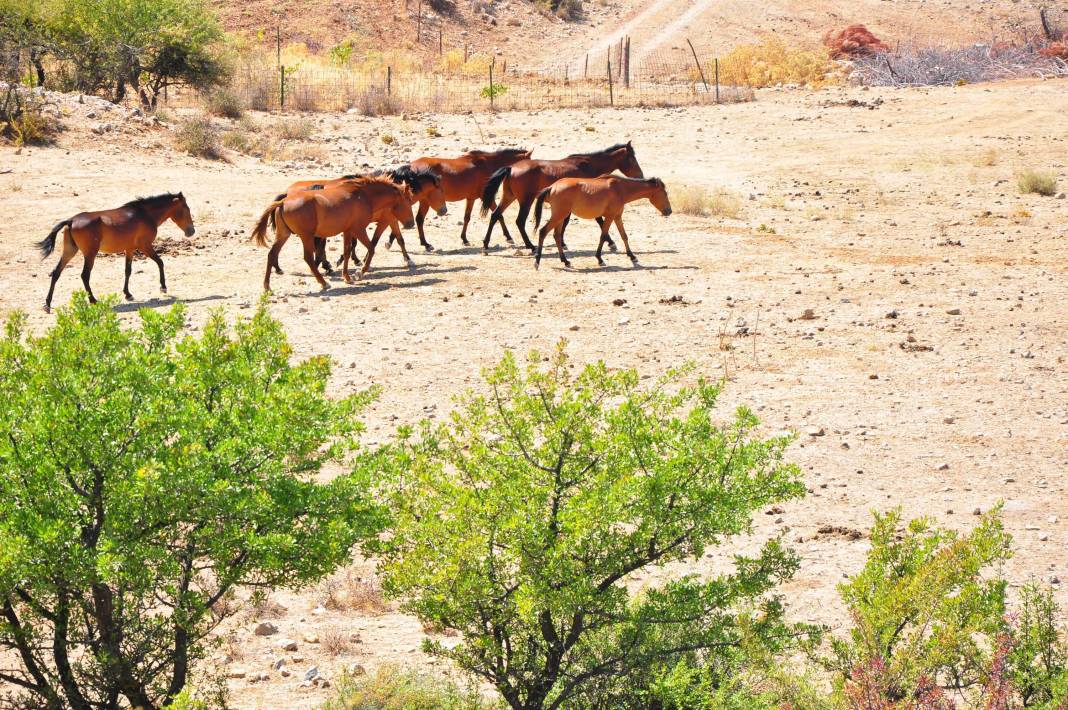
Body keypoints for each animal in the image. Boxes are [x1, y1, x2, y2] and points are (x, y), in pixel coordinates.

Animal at [38, 192, 196, 311]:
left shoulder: (130, 249)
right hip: (90, 254)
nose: (191, 231)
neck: (145, 214)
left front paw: (128, 294)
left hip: (70, 251)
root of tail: (71, 220)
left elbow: (128, 270)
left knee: (56, 273)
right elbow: (160, 262)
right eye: (186, 208)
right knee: (84, 276)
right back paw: (93, 300)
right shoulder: (145, 246)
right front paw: (163, 287)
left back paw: (47, 304)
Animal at [252, 176, 414, 290]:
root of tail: (283, 202)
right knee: (308, 258)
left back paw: (267, 286)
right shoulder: (358, 229)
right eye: (407, 201)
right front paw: (360, 273)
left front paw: (347, 277)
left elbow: (347, 252)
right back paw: (324, 283)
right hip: (306, 236)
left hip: (284, 235)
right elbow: (371, 248)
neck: (363, 196)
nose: (411, 223)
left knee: (272, 254)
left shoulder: (348, 230)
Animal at [482, 140, 645, 251]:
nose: (641, 176)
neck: (588, 166)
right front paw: (611, 243)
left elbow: (565, 223)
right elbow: (598, 220)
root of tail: (510, 168)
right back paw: (531, 246)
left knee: (495, 215)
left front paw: (562, 243)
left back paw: (486, 244)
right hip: (526, 201)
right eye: (632, 158)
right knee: (519, 221)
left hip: (509, 197)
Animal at [531, 174, 670, 269]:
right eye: (665, 193)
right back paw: (537, 262)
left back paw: (565, 261)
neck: (620, 188)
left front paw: (632, 256)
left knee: (557, 236)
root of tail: (552, 187)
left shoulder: (617, 216)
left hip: (560, 217)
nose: (669, 211)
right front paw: (599, 259)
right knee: (543, 232)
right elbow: (603, 236)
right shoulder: (610, 216)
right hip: (559, 216)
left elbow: (624, 236)